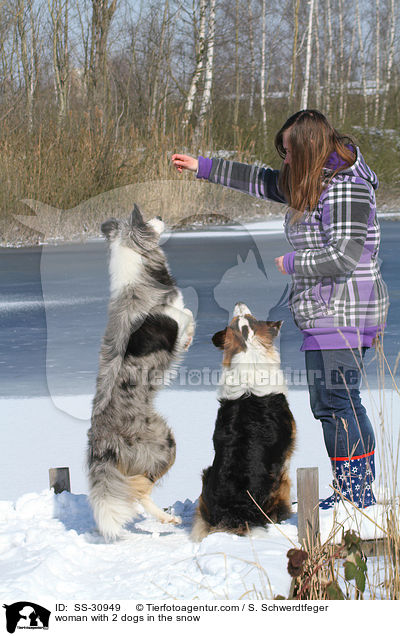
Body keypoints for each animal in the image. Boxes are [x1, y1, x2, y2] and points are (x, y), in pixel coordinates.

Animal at [88, 205, 195, 540]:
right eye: (147, 218)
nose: (160, 215)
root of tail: (99, 441)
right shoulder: (172, 317)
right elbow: (185, 314)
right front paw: (188, 337)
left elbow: (187, 311)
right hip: (163, 443)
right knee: (137, 490)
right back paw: (165, 518)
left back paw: (165, 518)